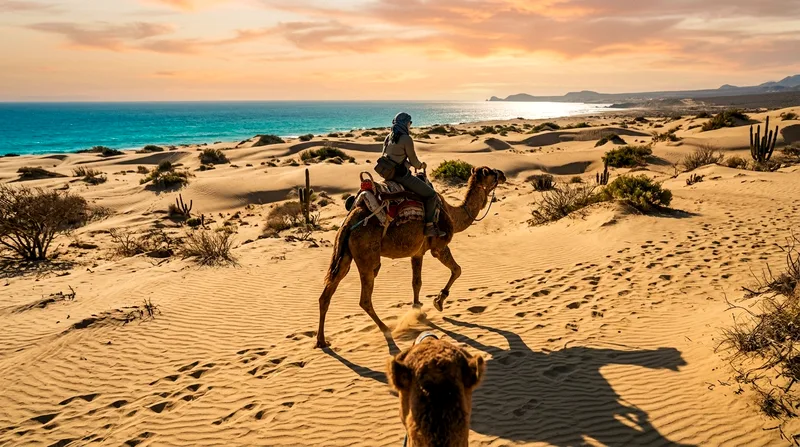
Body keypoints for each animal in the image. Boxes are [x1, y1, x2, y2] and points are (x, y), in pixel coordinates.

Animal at [315, 166, 506, 348]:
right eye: (489, 172)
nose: (502, 174)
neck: (452, 214)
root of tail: (349, 222)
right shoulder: (439, 247)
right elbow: (457, 270)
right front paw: (438, 301)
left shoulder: (417, 252)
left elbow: (417, 282)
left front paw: (418, 310)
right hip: (367, 256)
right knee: (365, 299)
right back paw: (386, 328)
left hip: (345, 255)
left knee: (327, 294)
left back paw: (322, 341)